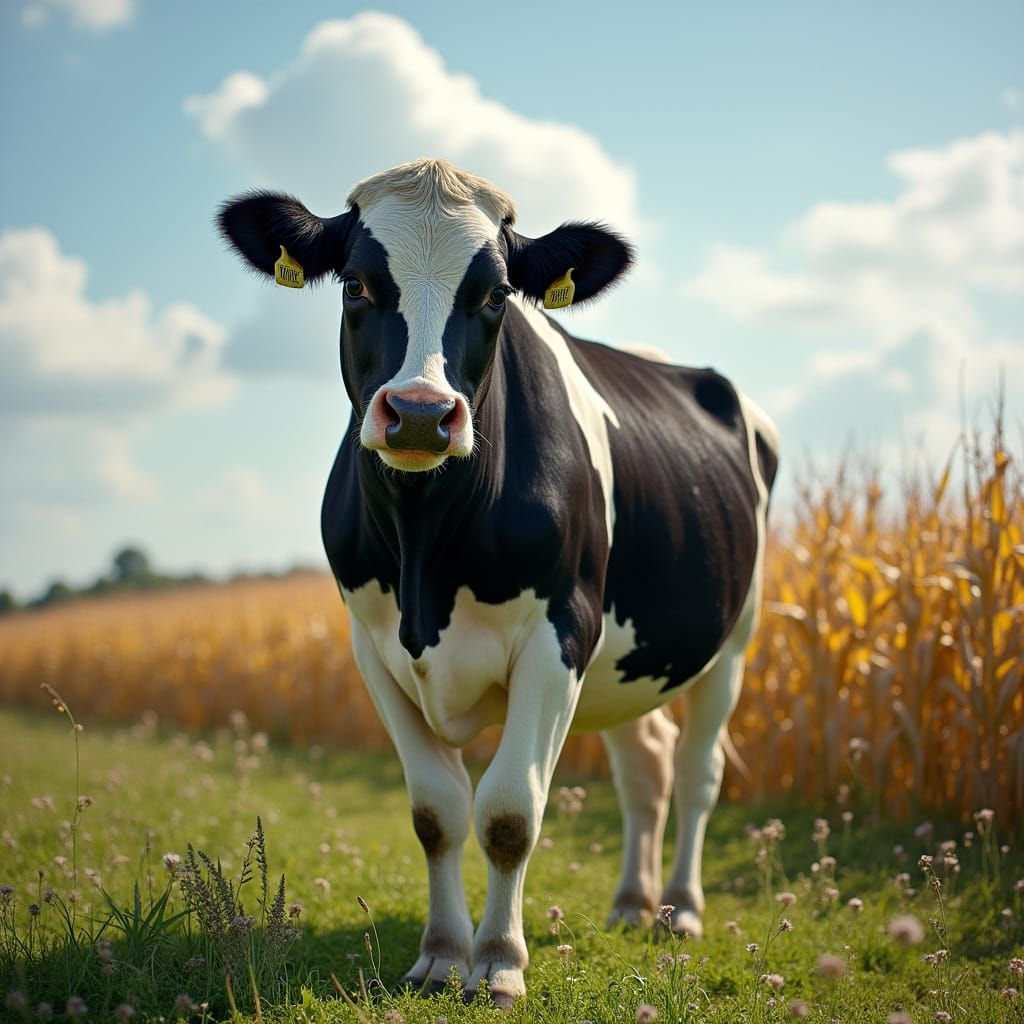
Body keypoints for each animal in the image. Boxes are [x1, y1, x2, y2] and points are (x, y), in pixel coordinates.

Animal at [218, 158, 779, 1009]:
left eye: (495, 294)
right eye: (355, 284)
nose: (420, 413)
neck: (425, 548)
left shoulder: (560, 634)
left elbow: (511, 811)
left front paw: (500, 964)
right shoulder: (371, 646)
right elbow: (437, 812)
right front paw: (442, 956)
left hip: (731, 640)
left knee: (696, 770)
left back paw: (680, 910)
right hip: (627, 656)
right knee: (645, 765)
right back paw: (632, 903)